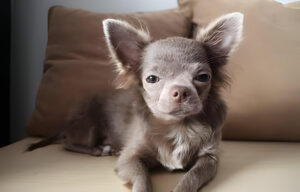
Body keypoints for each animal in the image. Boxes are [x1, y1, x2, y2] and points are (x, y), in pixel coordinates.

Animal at [27, 12, 244, 191]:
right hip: (88, 129)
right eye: (152, 79)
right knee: (67, 142)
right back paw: (100, 149)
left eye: (203, 77)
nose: (180, 91)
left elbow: (192, 176)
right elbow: (142, 177)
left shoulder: (210, 159)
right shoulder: (129, 158)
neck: (178, 127)